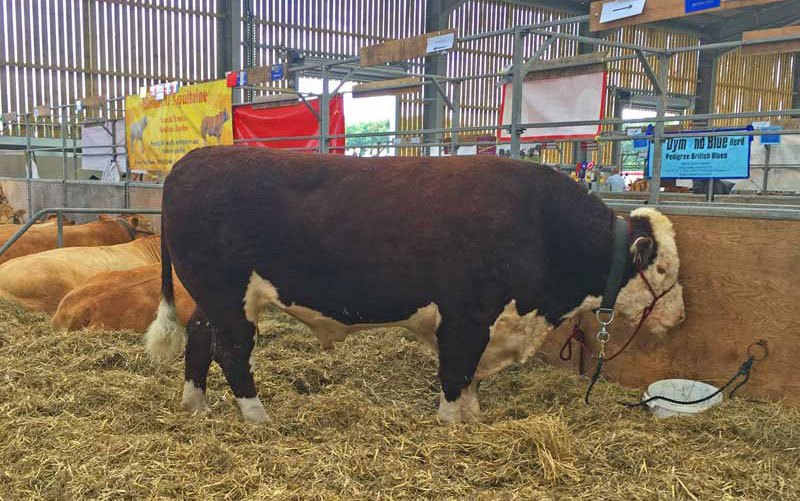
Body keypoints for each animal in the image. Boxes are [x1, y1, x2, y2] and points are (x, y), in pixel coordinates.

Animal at [147, 146, 684, 424]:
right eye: (662, 271)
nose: (678, 316)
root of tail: (191, 160)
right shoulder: (467, 317)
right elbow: (455, 373)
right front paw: (450, 426)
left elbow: (469, 381)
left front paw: (473, 419)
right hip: (227, 295)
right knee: (232, 351)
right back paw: (257, 417)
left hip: (212, 297)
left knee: (199, 339)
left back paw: (195, 408)